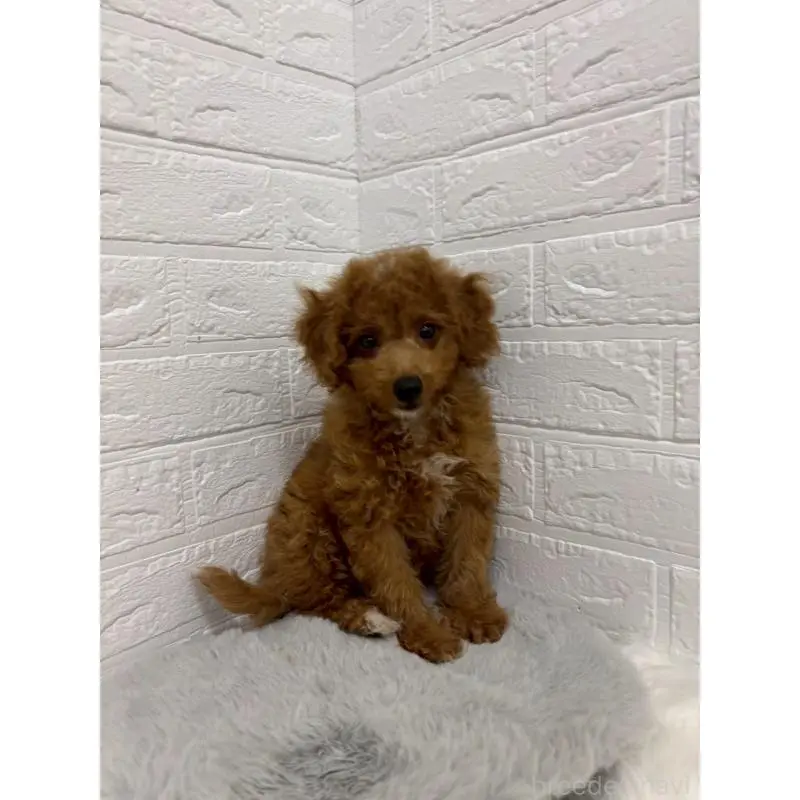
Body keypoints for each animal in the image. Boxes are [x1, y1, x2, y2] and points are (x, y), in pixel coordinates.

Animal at [198, 247, 508, 663]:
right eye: (367, 341)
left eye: (428, 331)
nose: (407, 386)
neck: (415, 428)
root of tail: (276, 582)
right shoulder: (370, 516)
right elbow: (395, 580)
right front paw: (427, 632)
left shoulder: (471, 492)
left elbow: (468, 559)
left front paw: (473, 612)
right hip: (307, 530)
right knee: (318, 601)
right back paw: (368, 618)